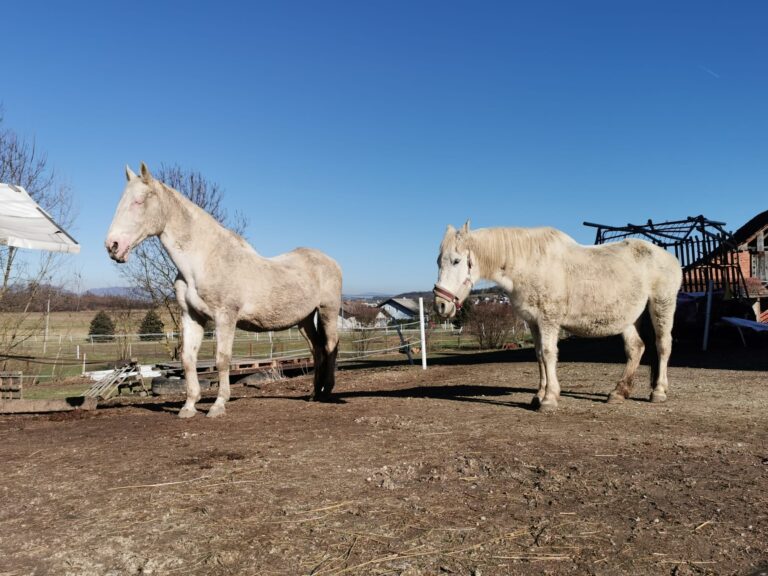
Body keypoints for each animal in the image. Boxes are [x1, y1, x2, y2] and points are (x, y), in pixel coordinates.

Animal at [106, 162, 342, 418]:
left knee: (331, 345)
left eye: (138, 201)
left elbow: (222, 359)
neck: (203, 260)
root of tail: (331, 261)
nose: (112, 246)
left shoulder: (225, 316)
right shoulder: (191, 316)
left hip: (327, 311)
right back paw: (314, 394)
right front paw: (189, 406)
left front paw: (218, 405)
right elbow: (188, 359)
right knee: (317, 350)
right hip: (305, 319)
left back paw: (327, 391)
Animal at [436, 218, 680, 412]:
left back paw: (658, 392)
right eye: (439, 261)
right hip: (630, 317)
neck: (530, 263)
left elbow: (548, 353)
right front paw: (539, 395)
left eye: (456, 261)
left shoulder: (548, 320)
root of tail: (669, 258)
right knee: (635, 348)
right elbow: (538, 355)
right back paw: (618, 392)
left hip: (662, 305)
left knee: (663, 345)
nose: (440, 305)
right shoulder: (533, 322)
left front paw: (549, 399)